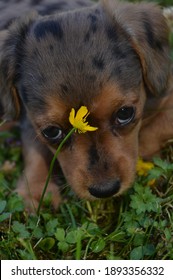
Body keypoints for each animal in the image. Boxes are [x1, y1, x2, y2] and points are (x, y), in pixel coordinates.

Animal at [0, 0, 172, 210]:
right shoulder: (28, 119)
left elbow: (154, 128)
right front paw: (35, 191)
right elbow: (34, 150)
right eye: (51, 131)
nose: (105, 190)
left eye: (125, 113)